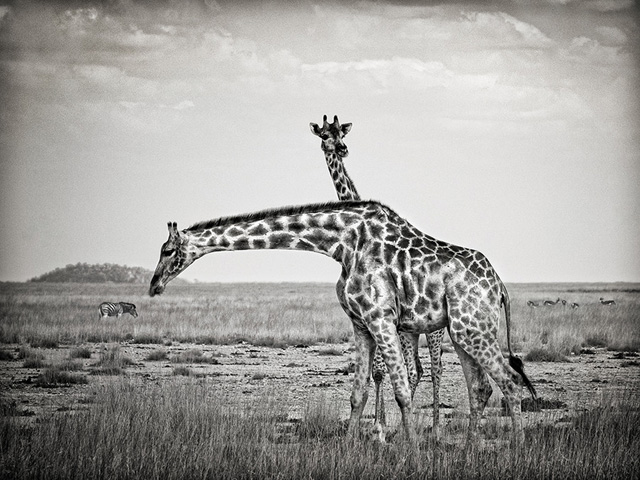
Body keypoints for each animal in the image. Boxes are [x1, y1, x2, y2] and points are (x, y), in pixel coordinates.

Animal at [149, 199, 536, 442]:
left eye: (167, 251)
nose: (154, 286)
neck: (341, 243)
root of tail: (500, 285)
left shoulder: (381, 318)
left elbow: (401, 391)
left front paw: (410, 453)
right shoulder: (360, 324)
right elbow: (357, 393)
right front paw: (350, 447)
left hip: (472, 330)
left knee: (510, 381)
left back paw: (516, 451)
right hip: (463, 330)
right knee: (482, 388)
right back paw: (469, 451)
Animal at [312, 114, 444, 440]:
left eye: (342, 134)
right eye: (324, 135)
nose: (342, 149)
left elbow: (382, 371)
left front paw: (380, 429)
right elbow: (379, 372)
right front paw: (380, 427)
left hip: (434, 331)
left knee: (435, 369)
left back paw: (436, 429)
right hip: (411, 332)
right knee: (416, 369)